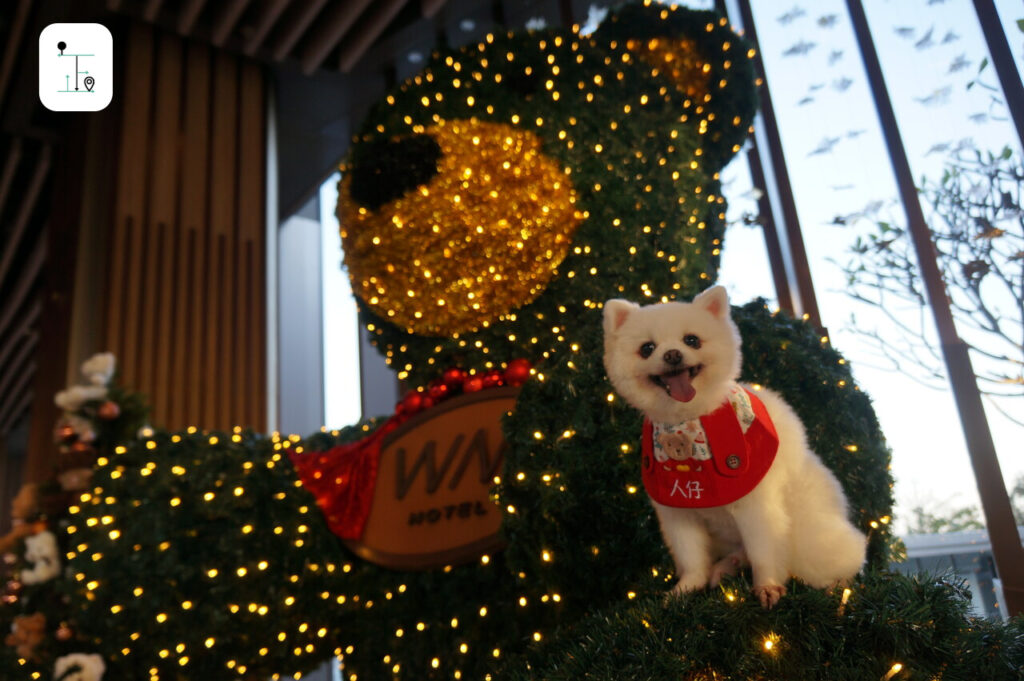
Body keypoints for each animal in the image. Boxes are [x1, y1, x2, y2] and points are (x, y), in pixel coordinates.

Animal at [602, 284, 868, 606]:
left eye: (692, 340)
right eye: (647, 348)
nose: (673, 354)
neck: (688, 424)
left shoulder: (757, 506)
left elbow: (764, 551)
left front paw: (767, 586)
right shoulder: (678, 511)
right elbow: (691, 559)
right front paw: (685, 590)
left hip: (813, 542)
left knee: (843, 560)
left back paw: (838, 586)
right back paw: (728, 566)